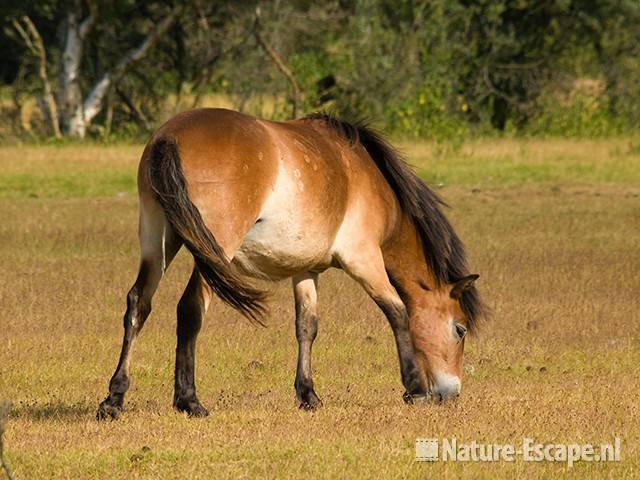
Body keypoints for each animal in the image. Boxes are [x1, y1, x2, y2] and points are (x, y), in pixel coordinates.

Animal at [96, 109, 484, 420]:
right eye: (460, 330)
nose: (451, 393)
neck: (368, 179)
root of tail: (171, 136)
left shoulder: (306, 271)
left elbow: (306, 327)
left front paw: (308, 395)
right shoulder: (364, 260)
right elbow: (397, 311)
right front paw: (414, 389)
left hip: (159, 242)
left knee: (138, 304)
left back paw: (115, 398)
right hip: (213, 250)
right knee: (189, 310)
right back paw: (189, 401)